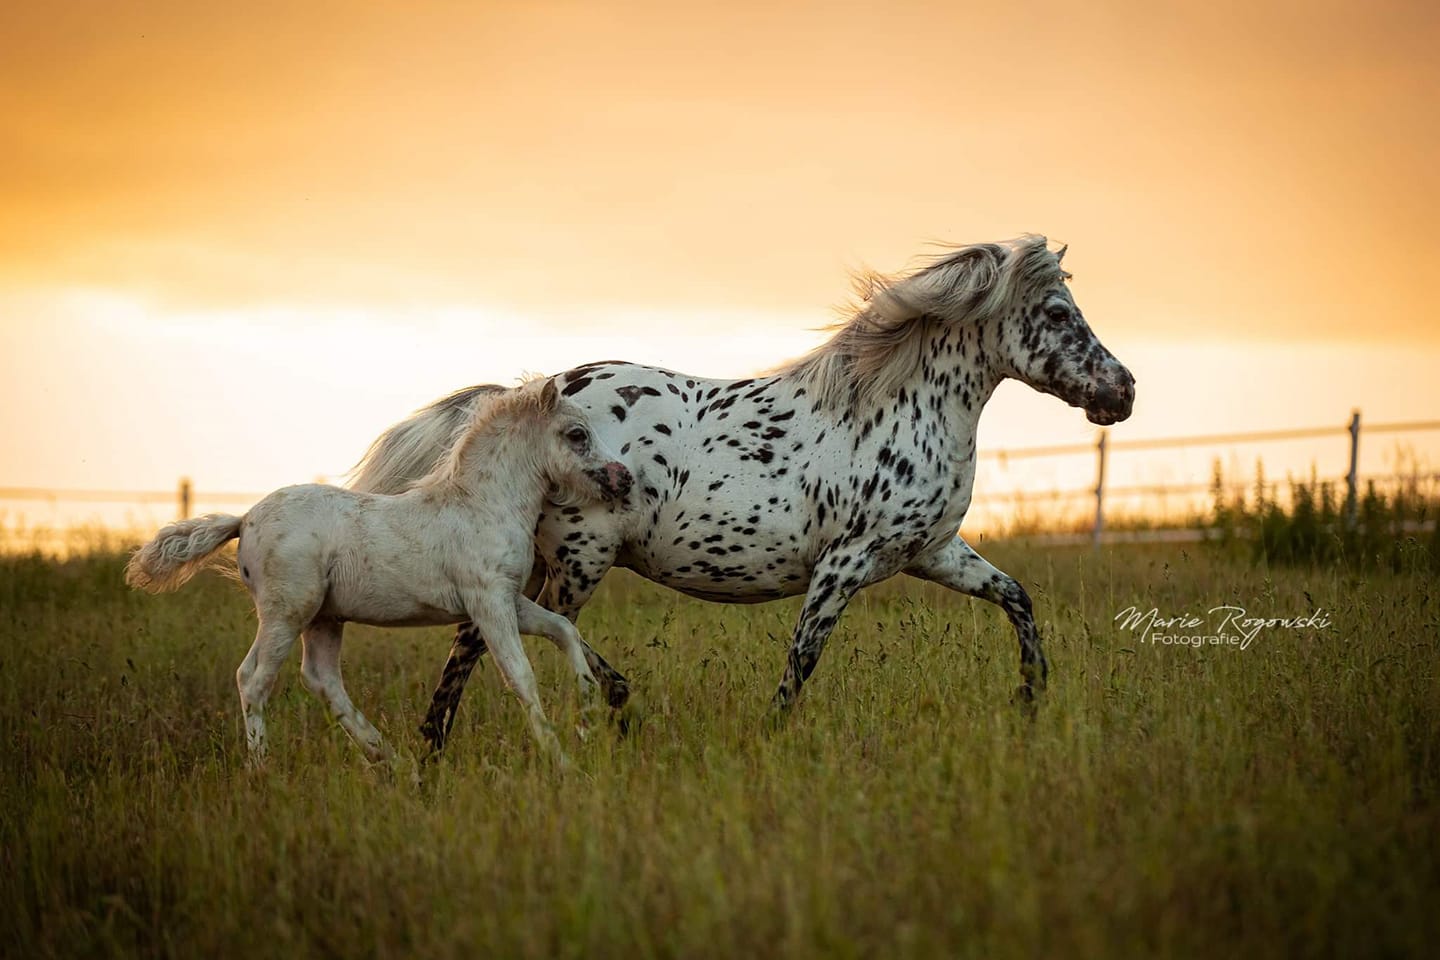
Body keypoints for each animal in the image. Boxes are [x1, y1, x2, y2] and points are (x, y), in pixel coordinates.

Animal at [126, 379, 633, 771]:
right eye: (576, 434)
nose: (624, 477)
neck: (481, 504)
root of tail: (243, 519)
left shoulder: (509, 599)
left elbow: (563, 629)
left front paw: (589, 707)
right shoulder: (487, 602)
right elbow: (521, 676)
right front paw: (563, 760)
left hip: (324, 618)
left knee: (322, 679)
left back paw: (390, 758)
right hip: (287, 612)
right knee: (253, 679)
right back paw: (262, 768)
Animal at [351, 234, 1134, 748]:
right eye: (1058, 313)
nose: (1122, 391)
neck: (893, 407)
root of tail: (534, 396)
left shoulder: (930, 553)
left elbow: (1016, 597)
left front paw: (1031, 698)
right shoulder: (845, 564)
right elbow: (804, 656)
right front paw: (772, 734)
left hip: (550, 560)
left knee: (481, 634)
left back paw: (434, 749)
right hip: (579, 559)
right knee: (519, 629)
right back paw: (598, 705)